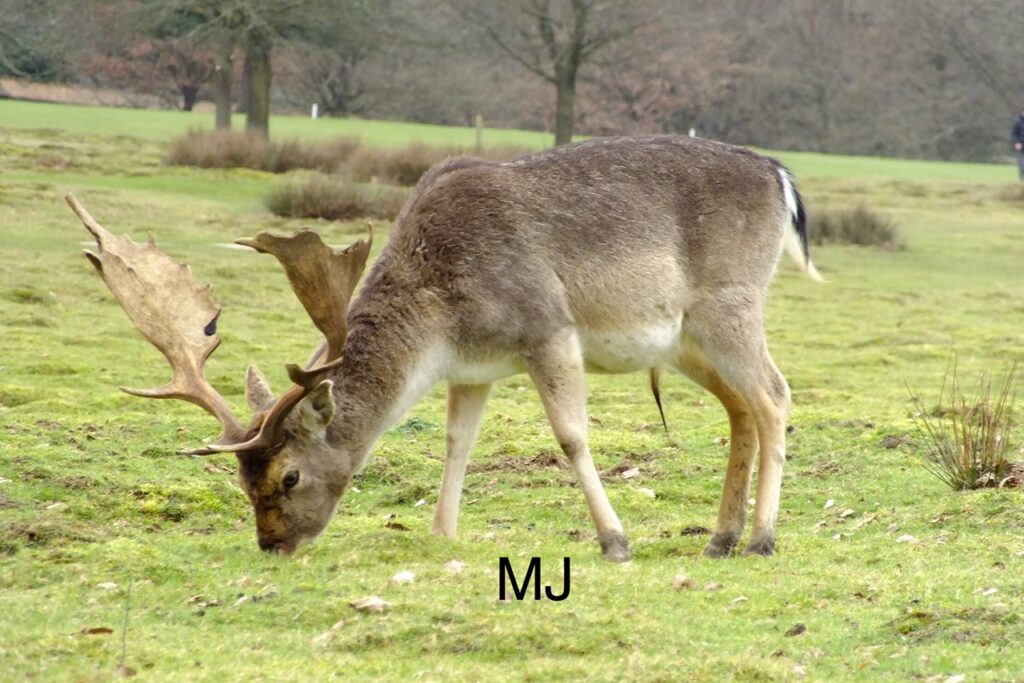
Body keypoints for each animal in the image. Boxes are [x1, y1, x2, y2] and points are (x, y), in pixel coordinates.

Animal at [67, 135, 821, 562]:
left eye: (289, 476)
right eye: (241, 480)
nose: (272, 545)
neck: (442, 313)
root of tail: (783, 178)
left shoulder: (546, 325)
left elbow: (572, 436)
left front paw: (616, 541)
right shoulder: (475, 368)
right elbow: (457, 442)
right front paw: (441, 532)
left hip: (728, 302)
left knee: (775, 394)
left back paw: (762, 539)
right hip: (685, 340)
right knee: (742, 407)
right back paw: (721, 538)